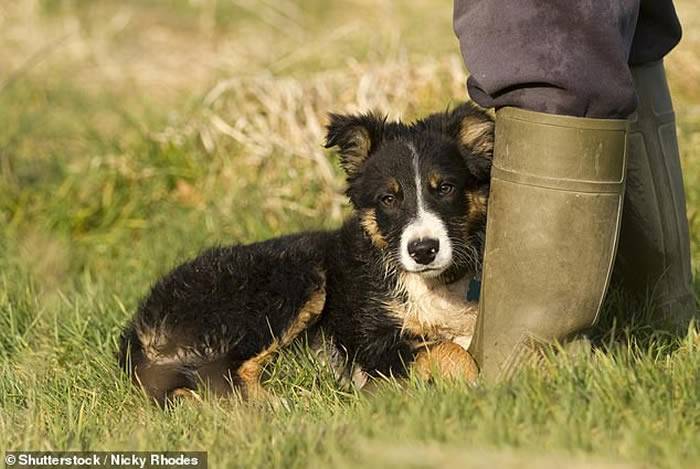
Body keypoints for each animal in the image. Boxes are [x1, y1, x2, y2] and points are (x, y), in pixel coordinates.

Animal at [117, 102, 492, 402]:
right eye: (389, 198)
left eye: (445, 188)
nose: (423, 250)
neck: (436, 283)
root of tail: (141, 323)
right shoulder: (369, 340)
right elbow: (445, 348)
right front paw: (476, 388)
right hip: (291, 281)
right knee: (224, 372)